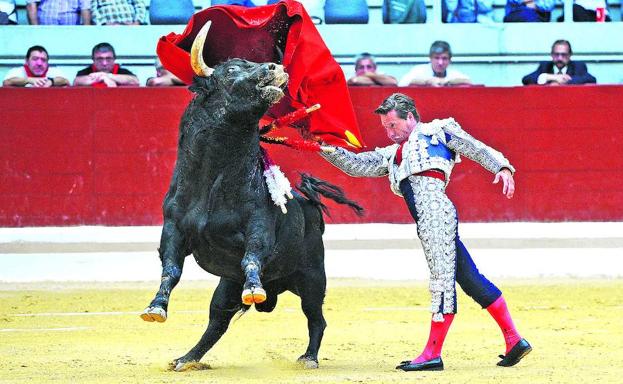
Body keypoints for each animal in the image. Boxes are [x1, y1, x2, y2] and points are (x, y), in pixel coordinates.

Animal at [140, 58, 366, 370]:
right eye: (232, 70)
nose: (276, 68)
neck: (212, 181)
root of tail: (309, 206)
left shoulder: (258, 227)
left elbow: (251, 259)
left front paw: (254, 289)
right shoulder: (173, 228)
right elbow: (171, 269)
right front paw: (155, 307)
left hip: (312, 278)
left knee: (316, 318)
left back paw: (309, 357)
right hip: (227, 286)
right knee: (217, 322)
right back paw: (187, 359)